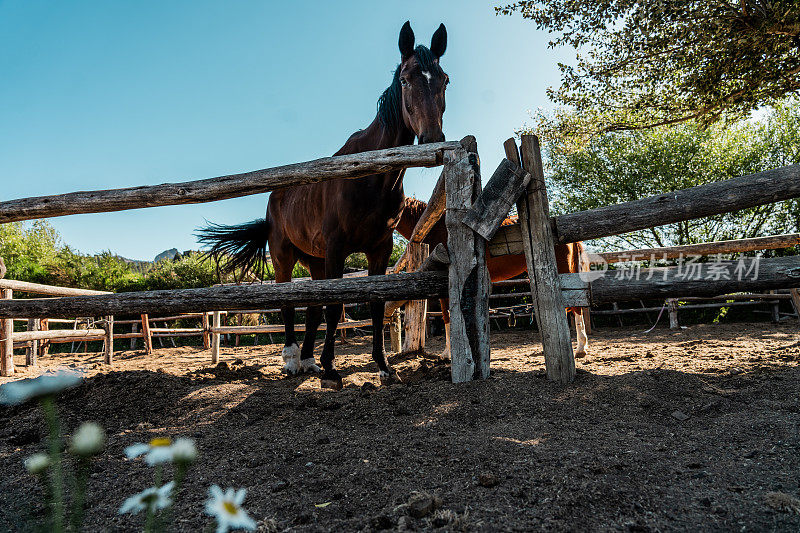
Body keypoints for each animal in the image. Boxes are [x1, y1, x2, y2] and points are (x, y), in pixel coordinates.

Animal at [198, 21, 450, 390]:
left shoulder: (378, 250)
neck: (371, 178)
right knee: (289, 304)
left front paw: (384, 367)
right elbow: (334, 306)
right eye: (405, 79)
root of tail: (276, 195)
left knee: (313, 307)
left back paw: (307, 360)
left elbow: (374, 306)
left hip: (314, 260)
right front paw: (332, 371)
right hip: (284, 256)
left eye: (445, 79)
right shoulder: (336, 248)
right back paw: (291, 360)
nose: (433, 139)